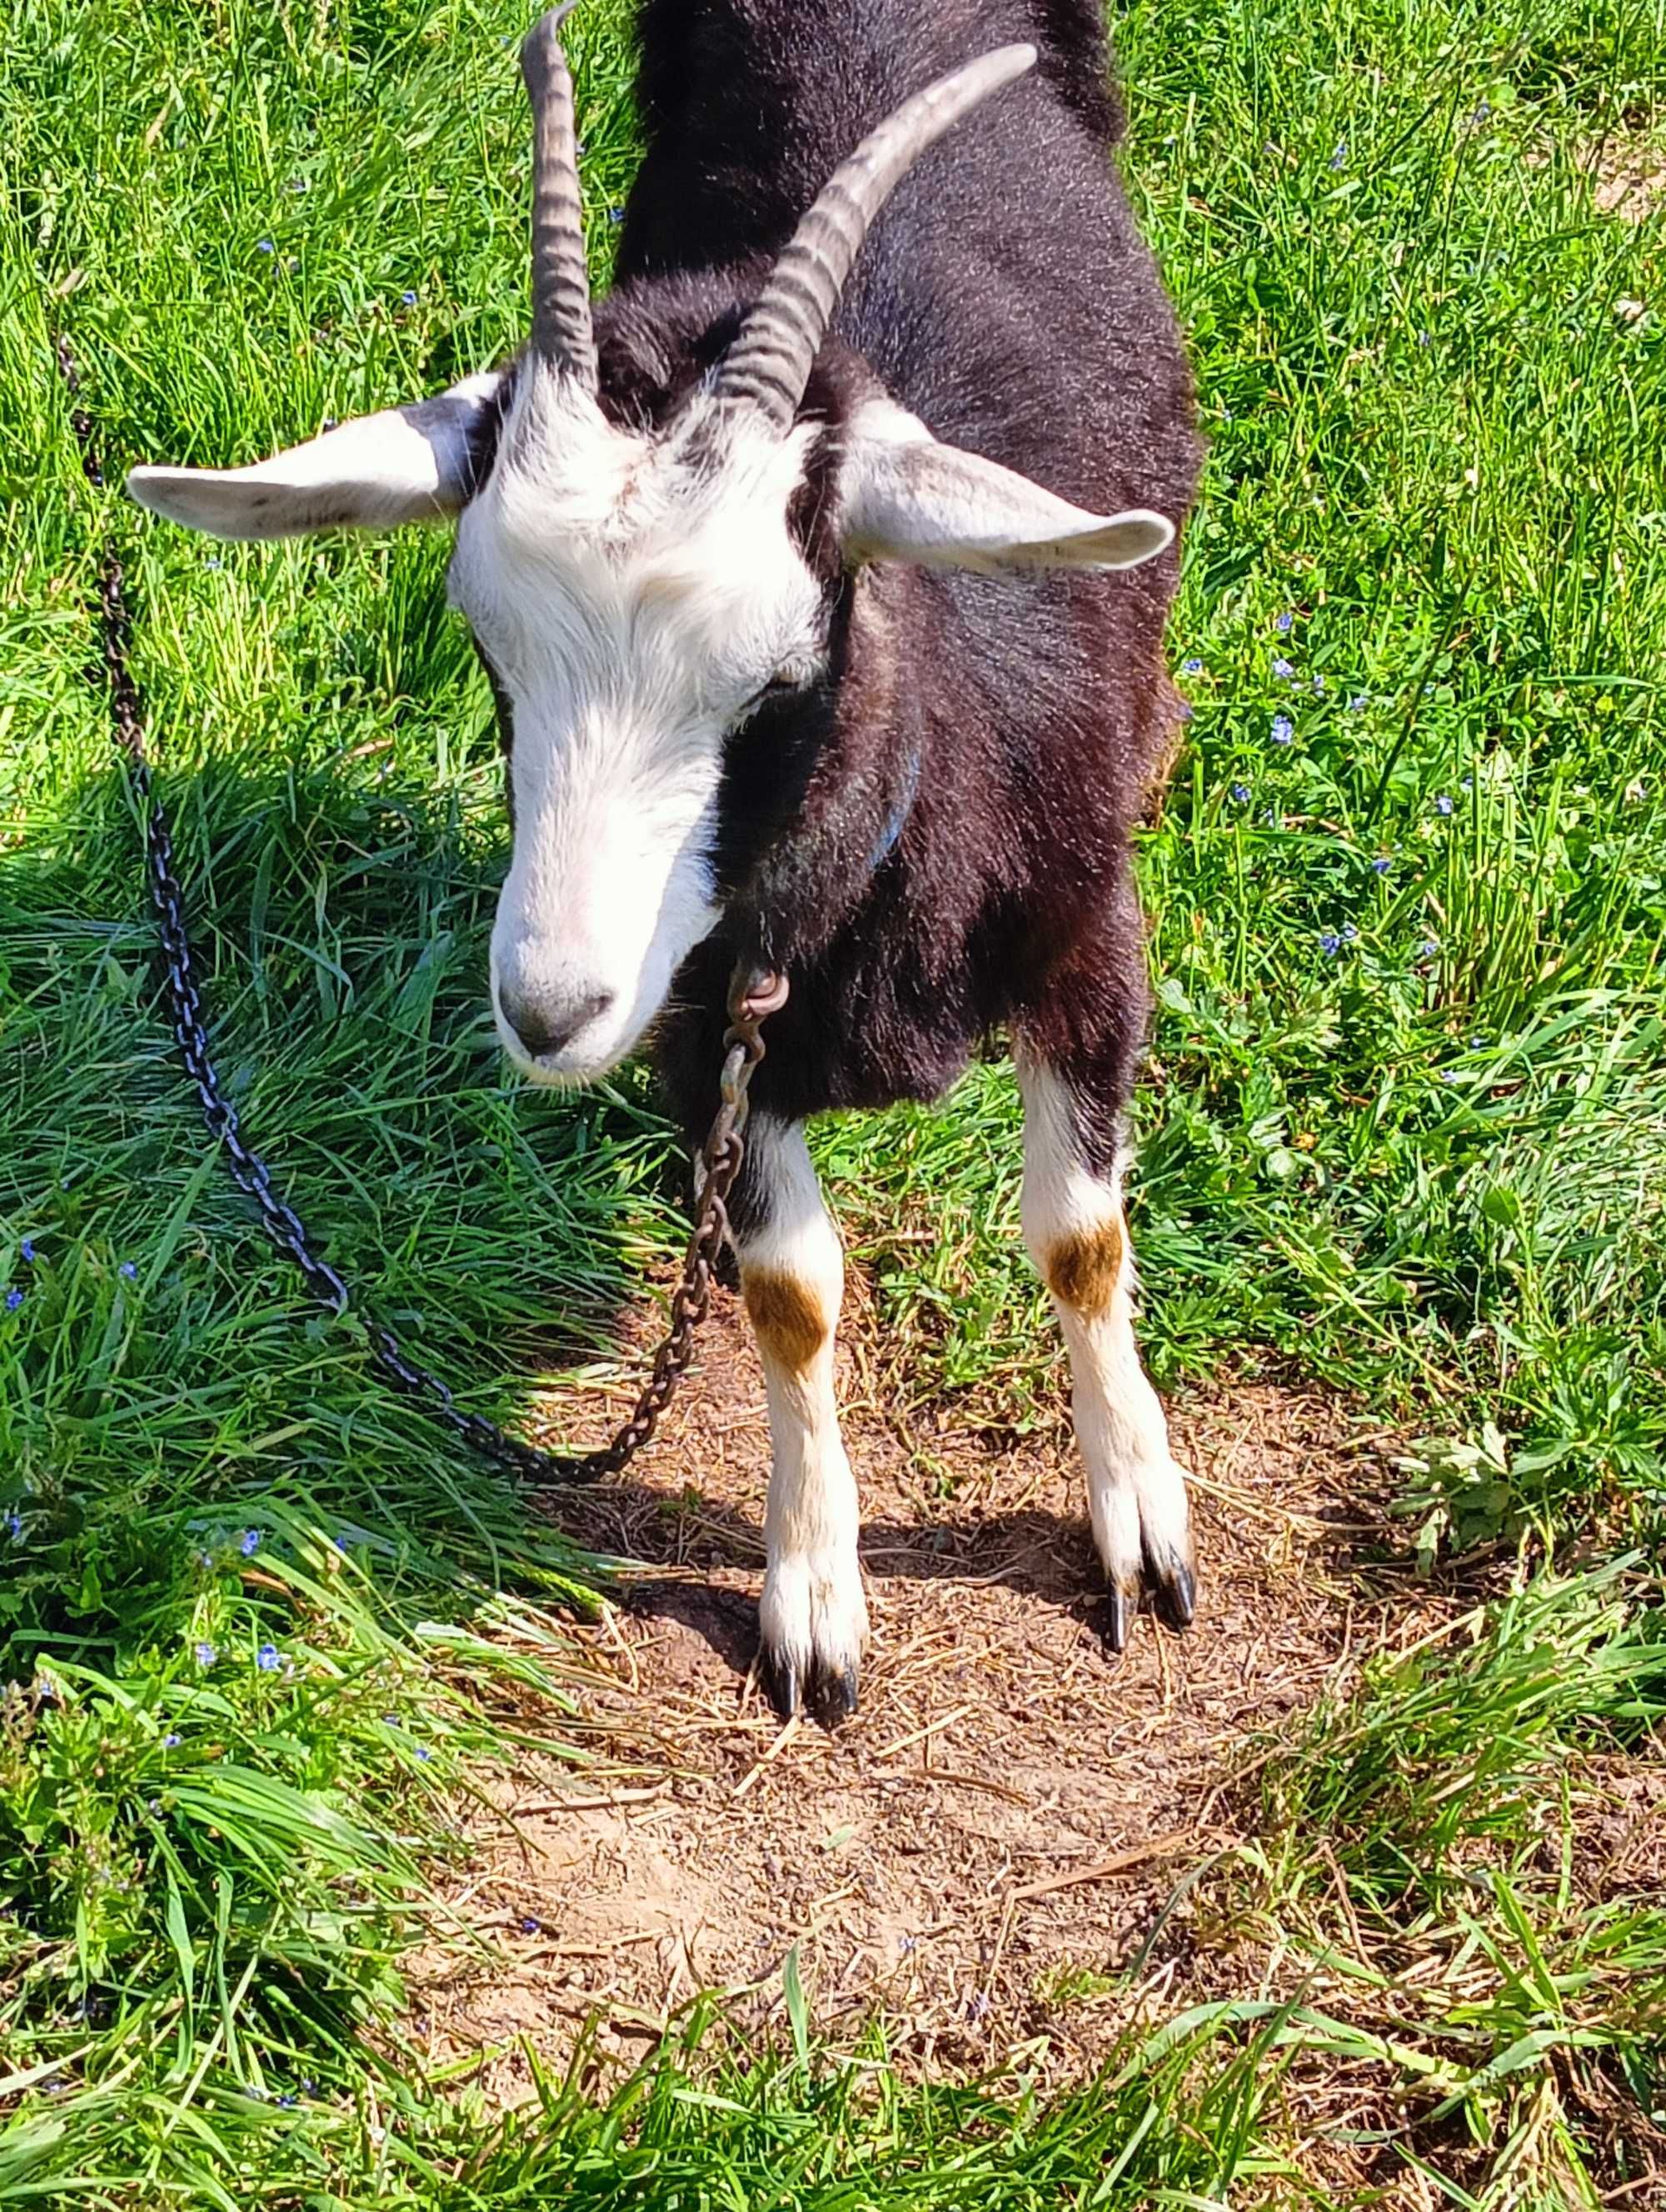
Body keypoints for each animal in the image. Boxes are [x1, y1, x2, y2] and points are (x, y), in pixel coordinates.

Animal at [127, 0, 1195, 1716]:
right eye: (485, 646)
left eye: (776, 676)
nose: (551, 1010)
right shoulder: (704, 1029)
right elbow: (791, 1297)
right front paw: (812, 1596)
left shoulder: (1089, 937)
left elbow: (1081, 1241)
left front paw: (1138, 1516)